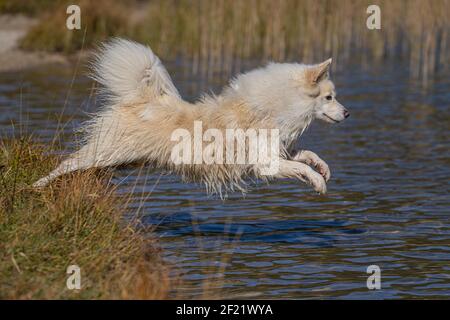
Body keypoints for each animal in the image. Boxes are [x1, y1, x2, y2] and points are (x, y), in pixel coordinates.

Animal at [34, 38, 348, 194]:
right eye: (329, 97)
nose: (347, 113)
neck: (273, 106)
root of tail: (140, 100)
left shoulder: (277, 150)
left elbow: (306, 156)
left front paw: (323, 169)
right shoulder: (265, 165)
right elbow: (301, 169)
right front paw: (318, 183)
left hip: (120, 161)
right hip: (107, 152)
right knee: (66, 164)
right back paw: (35, 186)